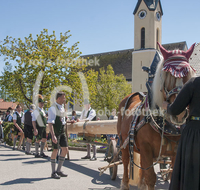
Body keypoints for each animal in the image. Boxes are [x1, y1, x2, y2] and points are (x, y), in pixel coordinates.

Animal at [117, 42, 195, 190]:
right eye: (167, 77)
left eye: (187, 76)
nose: (180, 113)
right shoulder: (146, 147)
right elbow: (151, 178)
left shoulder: (175, 152)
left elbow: (172, 175)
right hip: (124, 141)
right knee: (125, 162)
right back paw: (124, 184)